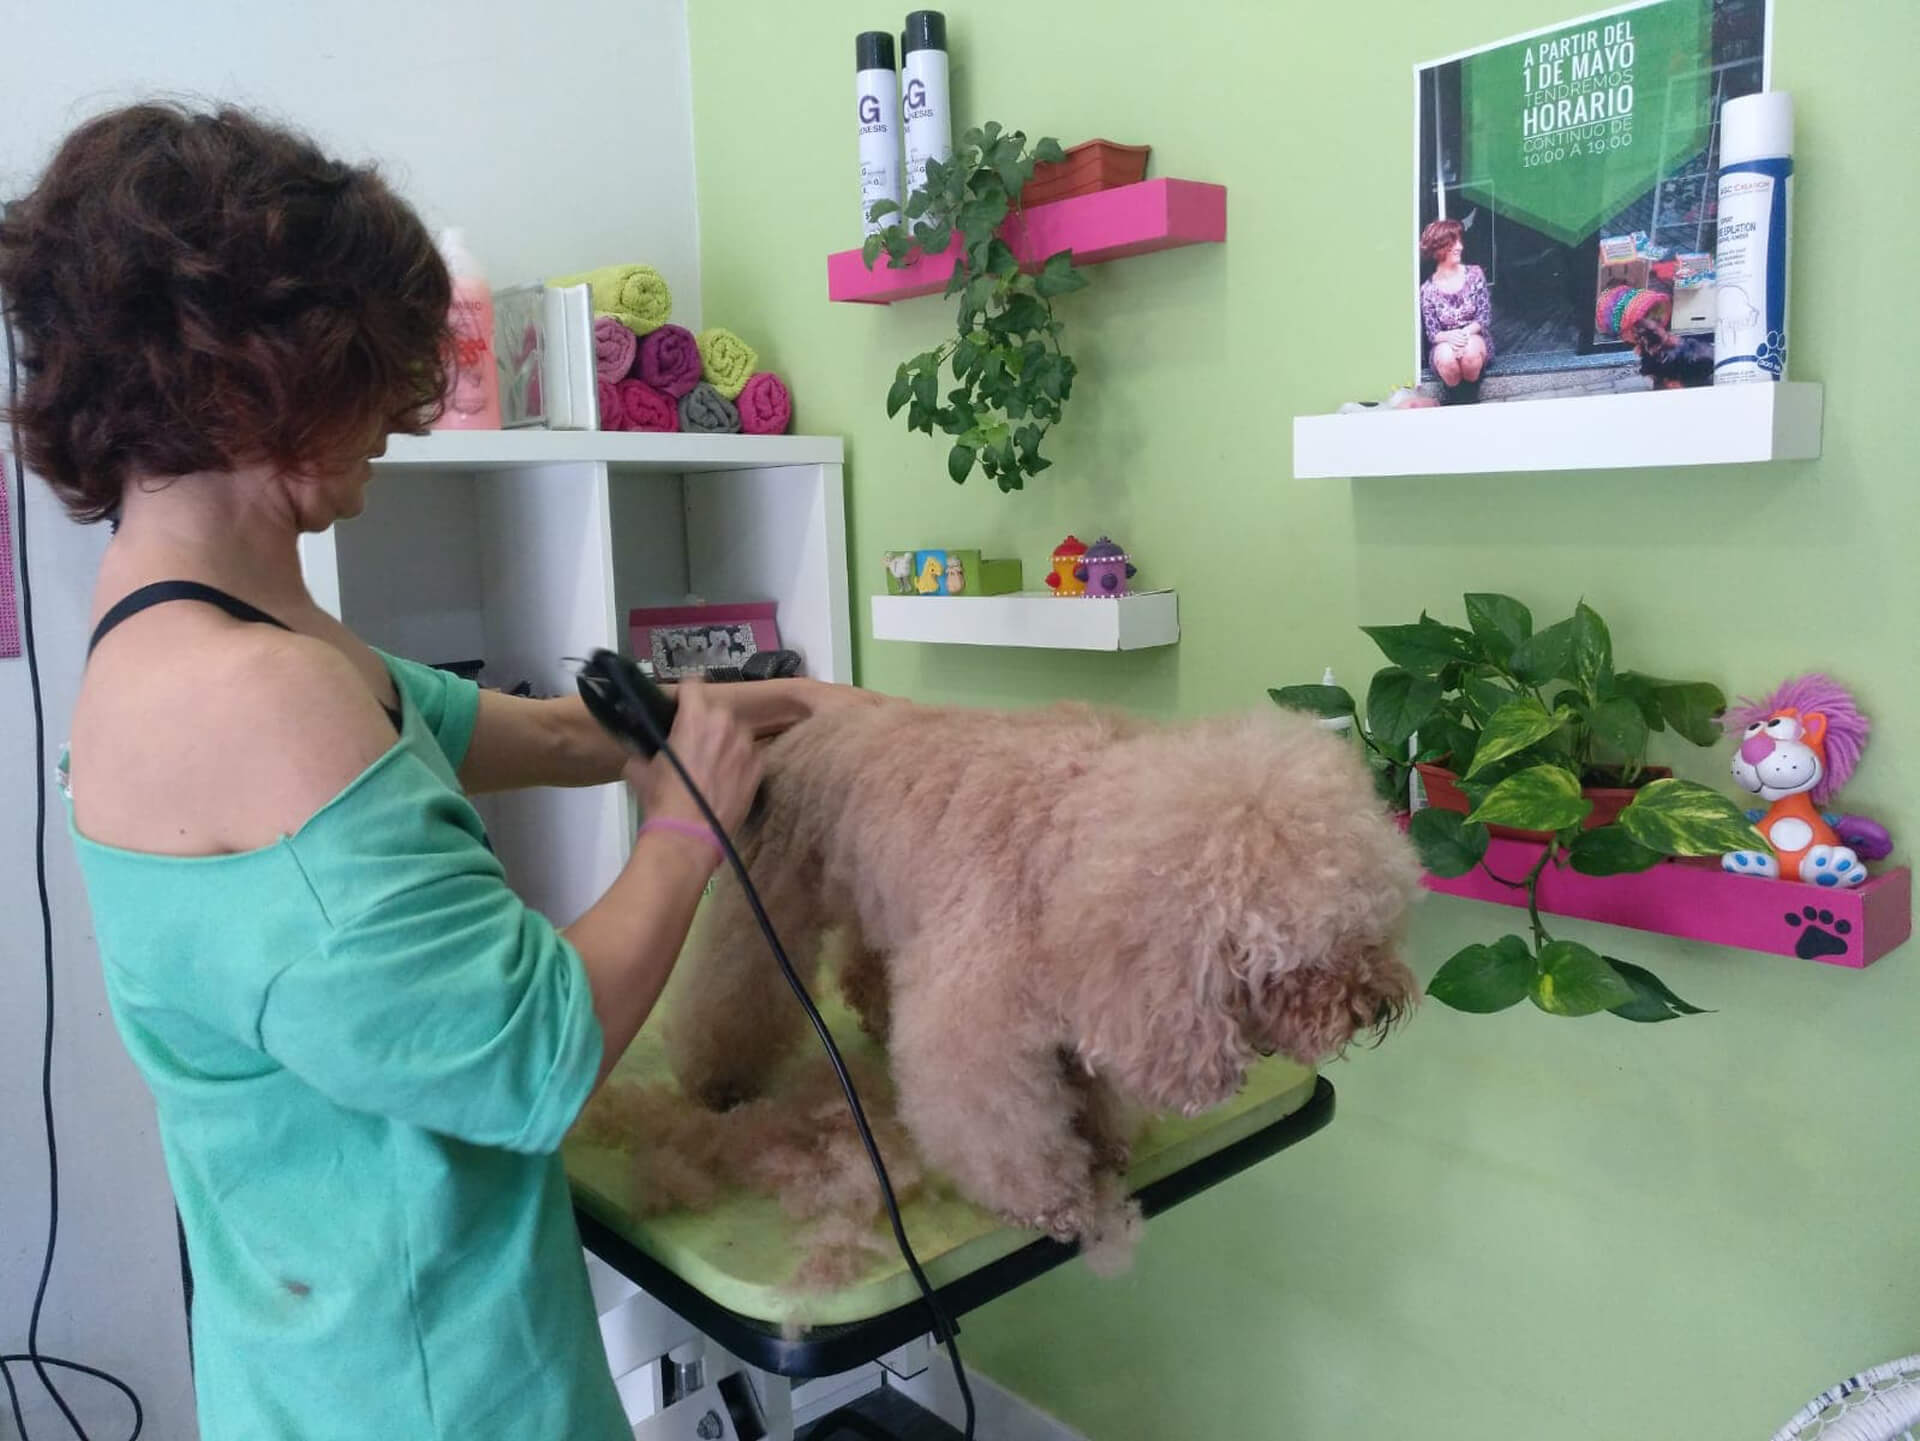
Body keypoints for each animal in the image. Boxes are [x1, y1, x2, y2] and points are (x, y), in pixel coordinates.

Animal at [668, 698, 1420, 1251]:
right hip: (768, 902)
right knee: (734, 983)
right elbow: (1002, 1124)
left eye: (1373, 926)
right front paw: (1052, 1197)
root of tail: (800, 729)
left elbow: (1088, 1087)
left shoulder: (1089, 997)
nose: (1381, 1004)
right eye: (1308, 955)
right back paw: (721, 1078)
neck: (1064, 856)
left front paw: (1102, 1142)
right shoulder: (979, 1022)